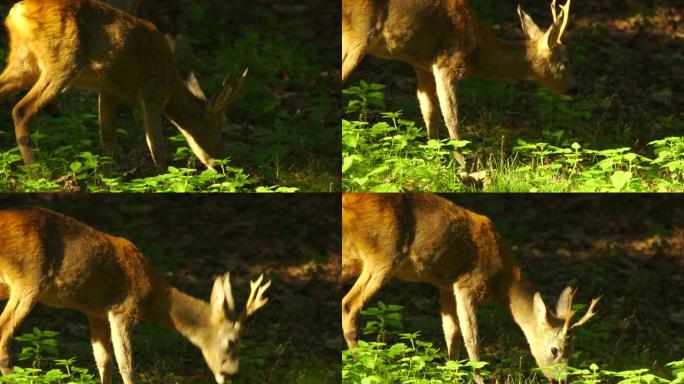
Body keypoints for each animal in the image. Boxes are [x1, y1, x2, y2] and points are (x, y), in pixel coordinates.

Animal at [0, 0, 246, 174]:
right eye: (221, 130)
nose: (223, 165)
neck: (171, 84)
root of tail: (18, 12)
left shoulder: (108, 90)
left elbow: (108, 138)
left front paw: (107, 180)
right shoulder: (151, 94)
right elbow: (155, 145)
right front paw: (164, 179)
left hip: (24, 65)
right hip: (62, 64)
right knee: (21, 110)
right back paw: (35, 174)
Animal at [0, 207, 272, 384]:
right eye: (232, 342)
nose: (231, 375)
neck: (156, 296)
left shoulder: (96, 312)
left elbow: (103, 360)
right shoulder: (123, 309)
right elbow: (126, 364)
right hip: (29, 279)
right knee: (4, 331)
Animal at [342, 0, 576, 144]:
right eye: (565, 61)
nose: (574, 89)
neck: (478, 51)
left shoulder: (423, 65)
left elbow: (429, 112)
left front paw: (434, 156)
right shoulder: (448, 63)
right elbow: (452, 117)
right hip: (357, 35)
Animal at [342, 194, 600, 380]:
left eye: (572, 349)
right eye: (555, 350)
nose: (561, 380)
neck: (504, 282)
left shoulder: (446, 285)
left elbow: (451, 332)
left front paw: (451, 373)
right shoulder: (468, 284)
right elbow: (472, 338)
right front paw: (478, 378)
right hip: (383, 255)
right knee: (349, 304)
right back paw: (361, 365)